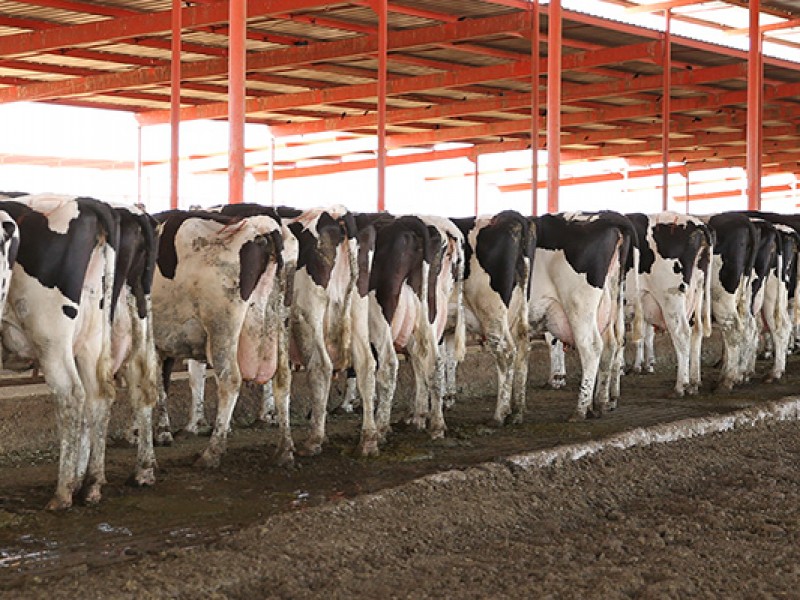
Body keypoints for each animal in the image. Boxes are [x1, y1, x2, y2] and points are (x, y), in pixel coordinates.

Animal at [150, 211, 294, 468]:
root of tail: (262, 227)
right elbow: (161, 384)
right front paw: (162, 432)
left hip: (222, 325)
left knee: (230, 380)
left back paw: (212, 452)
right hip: (280, 321)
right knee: (283, 379)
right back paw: (284, 450)